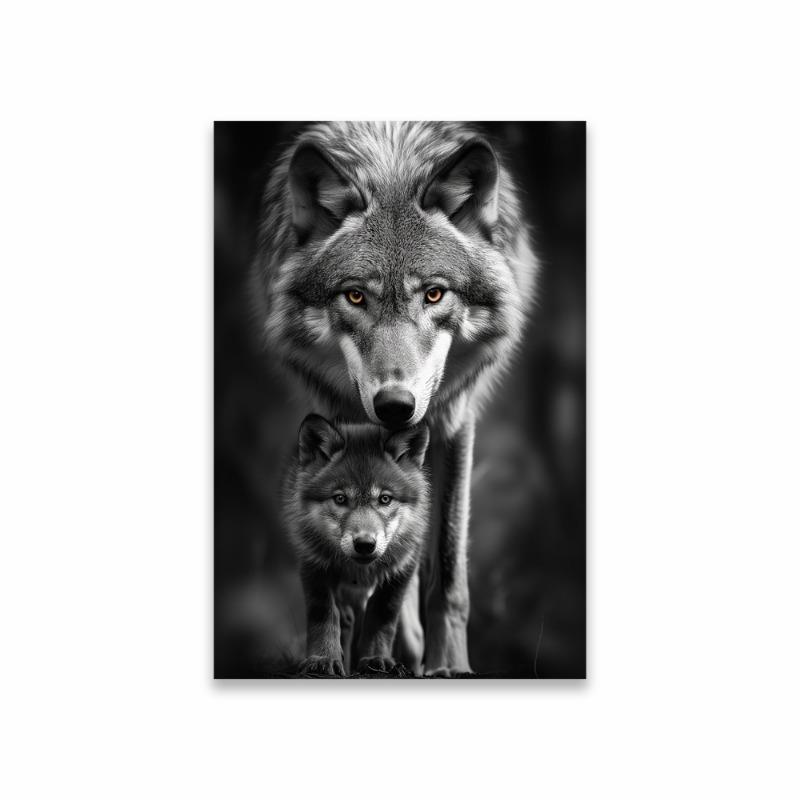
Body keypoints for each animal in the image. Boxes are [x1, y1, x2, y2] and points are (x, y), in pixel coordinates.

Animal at [286, 414, 430, 676]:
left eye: (385, 499)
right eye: (340, 499)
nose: (365, 544)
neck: (359, 572)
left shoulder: (402, 568)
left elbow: (382, 617)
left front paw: (375, 658)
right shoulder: (313, 563)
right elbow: (324, 615)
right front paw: (323, 658)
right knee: (346, 619)